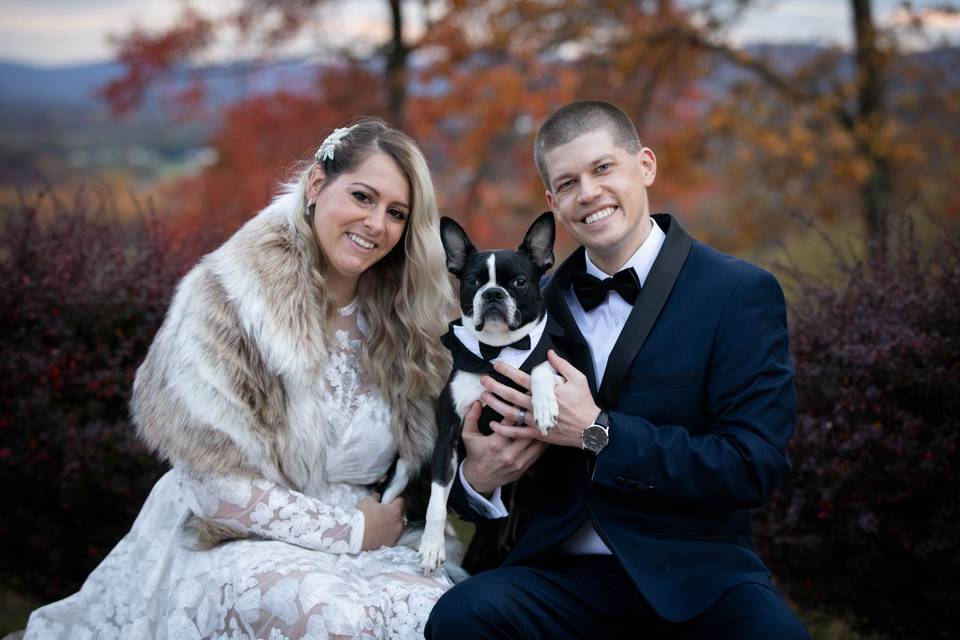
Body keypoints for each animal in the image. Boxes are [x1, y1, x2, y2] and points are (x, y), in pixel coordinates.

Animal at [380, 211, 568, 576]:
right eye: (472, 281)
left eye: (519, 282)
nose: (493, 294)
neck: (496, 353)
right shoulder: (447, 438)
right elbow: (437, 502)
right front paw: (431, 547)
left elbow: (541, 364)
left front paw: (543, 405)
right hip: (407, 465)